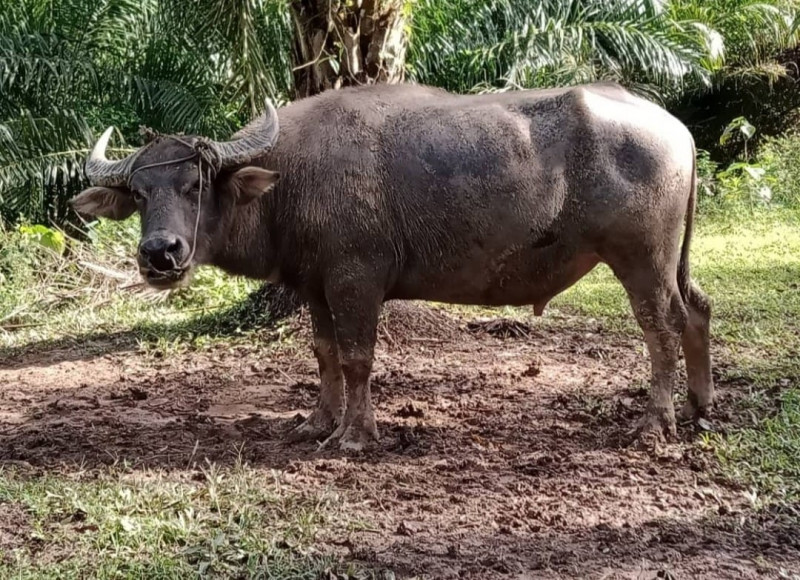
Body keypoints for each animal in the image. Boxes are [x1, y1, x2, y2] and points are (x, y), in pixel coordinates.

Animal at [71, 82, 713, 451]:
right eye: (140, 193)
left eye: (194, 185)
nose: (161, 254)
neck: (290, 181)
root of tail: (675, 128)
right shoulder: (316, 286)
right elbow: (325, 356)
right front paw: (317, 423)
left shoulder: (356, 280)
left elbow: (358, 358)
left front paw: (356, 435)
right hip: (669, 262)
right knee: (698, 311)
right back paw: (700, 408)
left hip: (641, 258)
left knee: (661, 328)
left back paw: (656, 424)